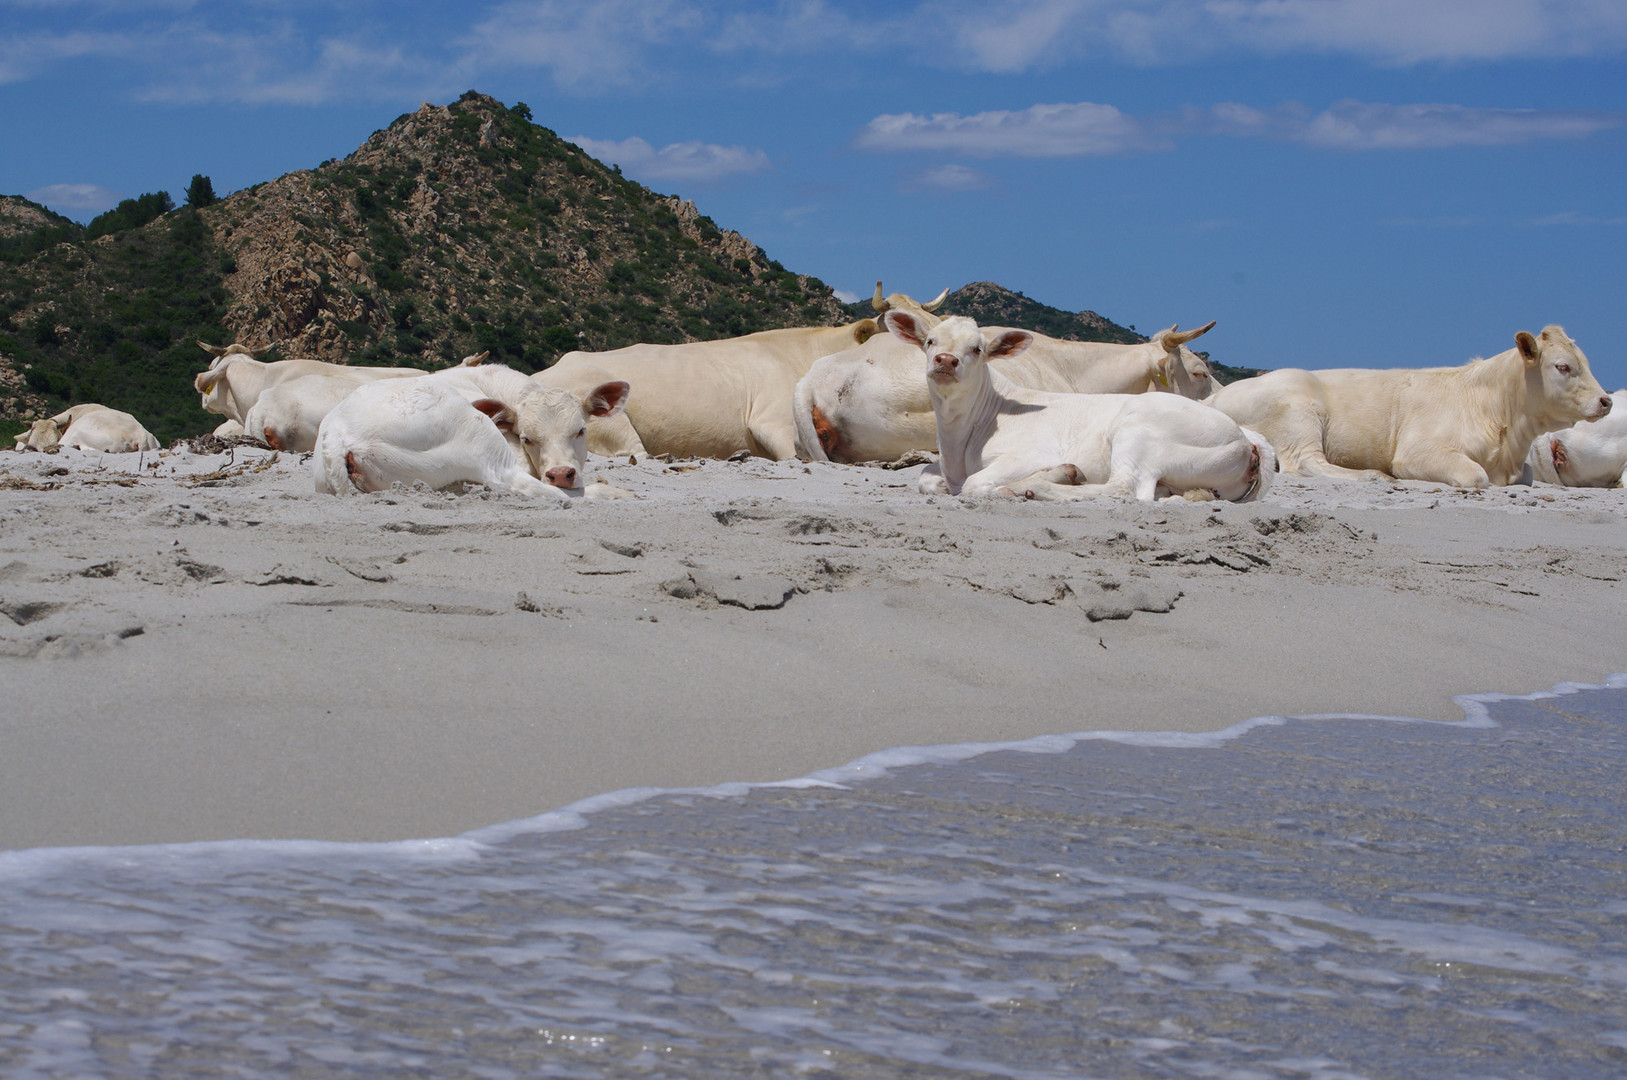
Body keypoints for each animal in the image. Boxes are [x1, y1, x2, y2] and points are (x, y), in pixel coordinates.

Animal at [885, 307, 1275, 500]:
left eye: (977, 348)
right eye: (930, 342)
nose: (946, 361)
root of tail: (1247, 440)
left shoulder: (1028, 452)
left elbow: (975, 483)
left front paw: (1024, 483)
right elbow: (926, 478)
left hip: (1137, 431)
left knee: (1125, 489)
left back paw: (1040, 487)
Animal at [1216, 322, 1607, 487]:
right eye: (1563, 367)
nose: (1605, 401)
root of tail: (1217, 395)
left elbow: (1525, 475)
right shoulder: (1419, 450)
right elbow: (1475, 475)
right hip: (1299, 411)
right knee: (1305, 462)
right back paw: (1374, 475)